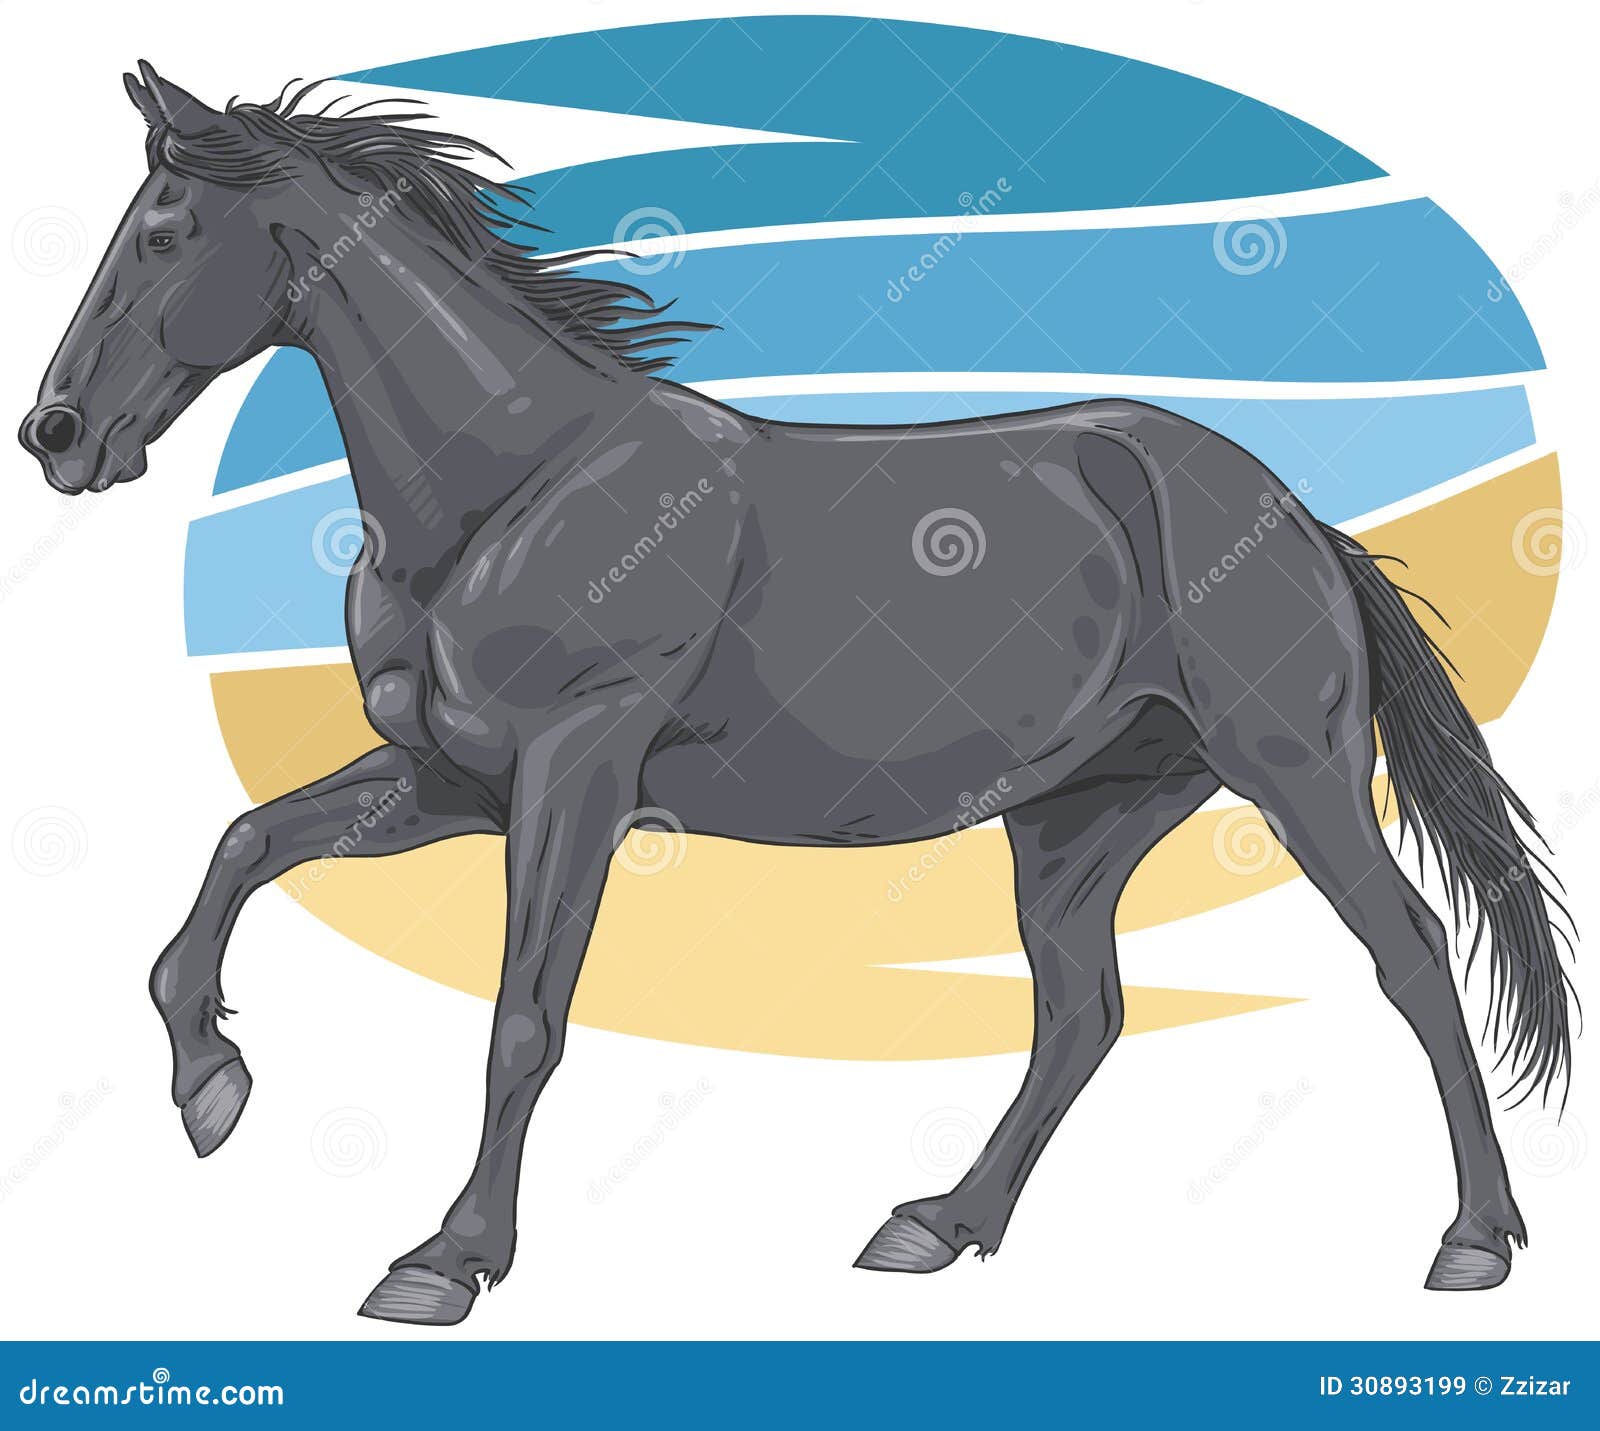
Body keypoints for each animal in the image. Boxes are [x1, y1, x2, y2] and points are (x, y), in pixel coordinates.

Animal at [20, 64, 1574, 1326]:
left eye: (163, 232)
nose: (57, 434)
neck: (512, 490)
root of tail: (1294, 519)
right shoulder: (449, 779)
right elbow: (240, 849)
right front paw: (212, 1088)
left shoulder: (575, 771)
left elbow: (524, 1017)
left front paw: (443, 1259)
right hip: (1080, 817)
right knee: (1081, 1012)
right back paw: (936, 1225)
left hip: (1293, 772)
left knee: (1411, 959)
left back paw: (1474, 1242)